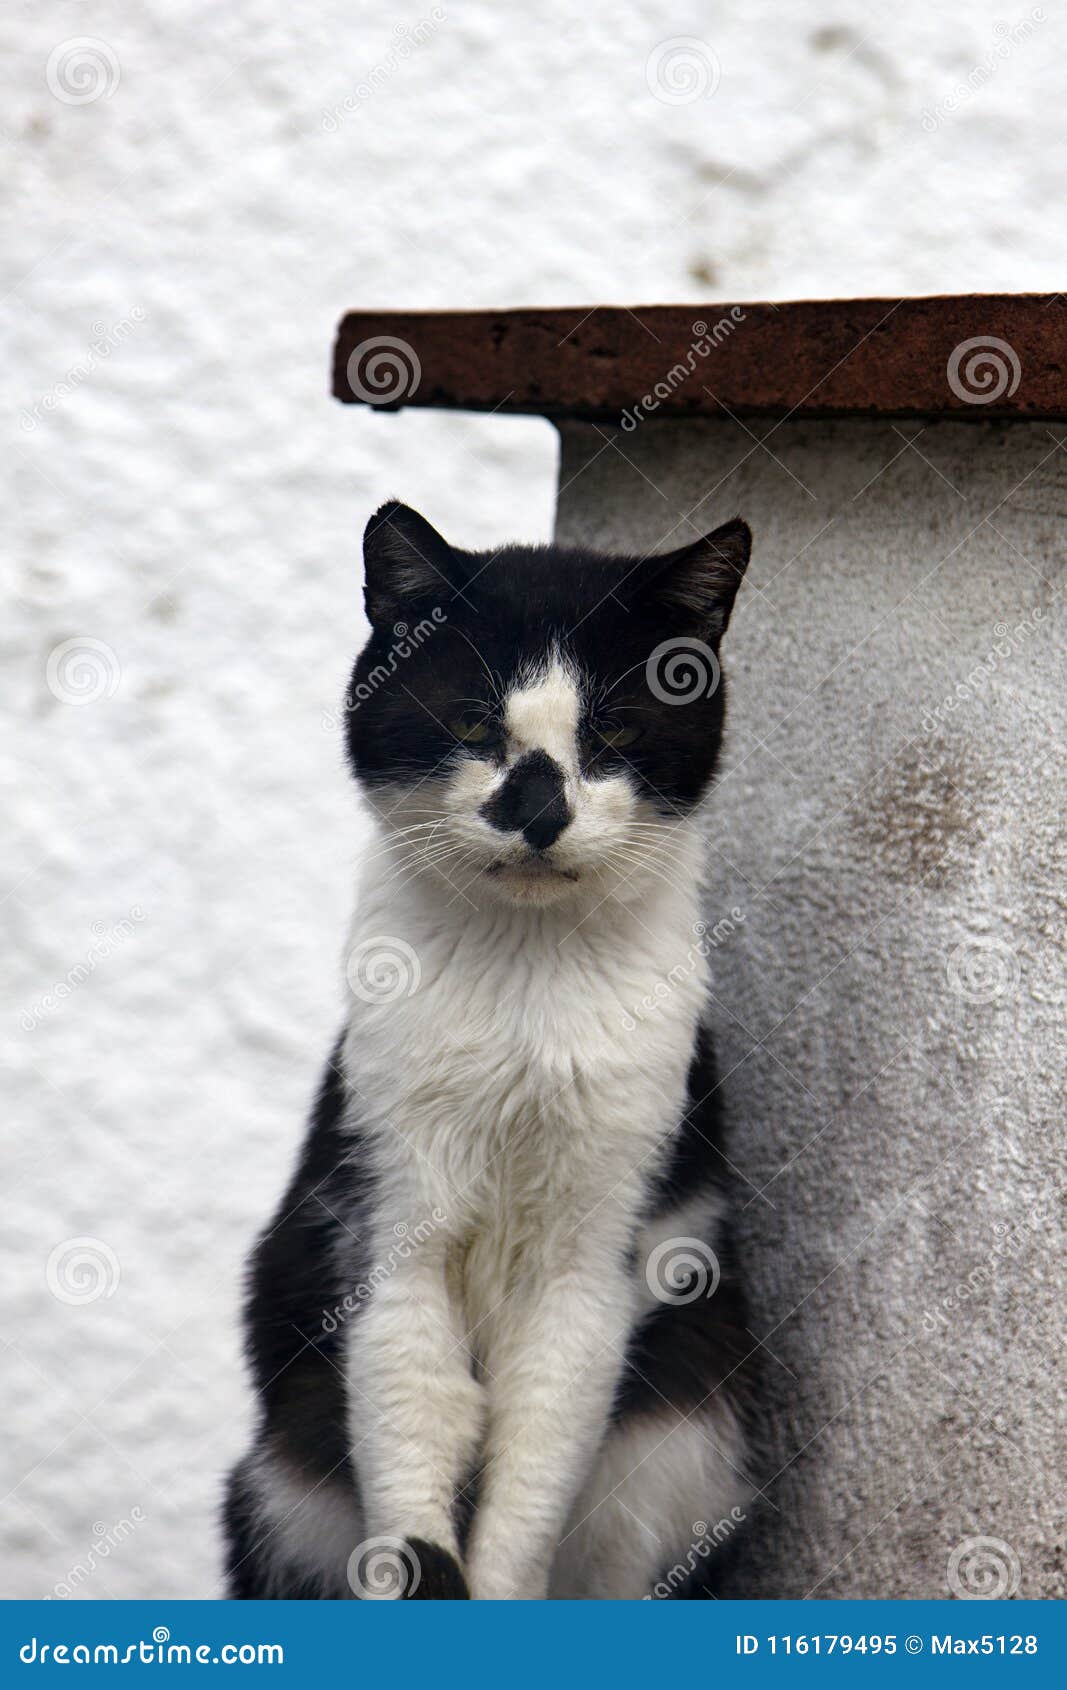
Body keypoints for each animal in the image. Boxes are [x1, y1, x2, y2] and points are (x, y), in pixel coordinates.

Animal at [224, 496, 760, 1595]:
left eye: (614, 728)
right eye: (473, 722)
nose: (538, 807)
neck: (526, 981)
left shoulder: (595, 1260)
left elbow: (530, 1474)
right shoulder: (389, 1221)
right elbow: (411, 1425)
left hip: (679, 1438)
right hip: (276, 1484)